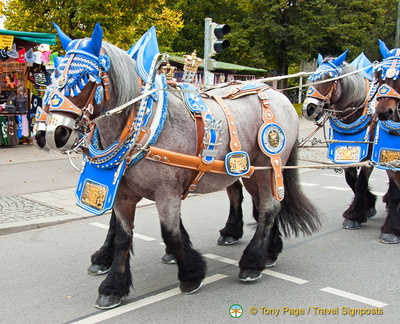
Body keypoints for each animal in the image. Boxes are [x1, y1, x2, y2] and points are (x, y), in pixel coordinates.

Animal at [36, 24, 320, 308]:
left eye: (84, 77)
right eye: (52, 77)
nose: (49, 134)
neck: (144, 123)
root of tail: (275, 93)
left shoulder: (167, 193)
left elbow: (170, 233)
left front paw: (191, 274)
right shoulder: (121, 194)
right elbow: (122, 236)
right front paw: (113, 286)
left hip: (270, 165)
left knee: (269, 209)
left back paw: (252, 263)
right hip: (251, 172)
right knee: (262, 205)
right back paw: (268, 251)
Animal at [302, 50, 376, 229]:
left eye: (328, 80)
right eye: (311, 79)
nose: (308, 109)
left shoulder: (369, 156)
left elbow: (360, 183)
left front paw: (354, 216)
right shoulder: (345, 152)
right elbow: (351, 181)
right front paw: (368, 206)